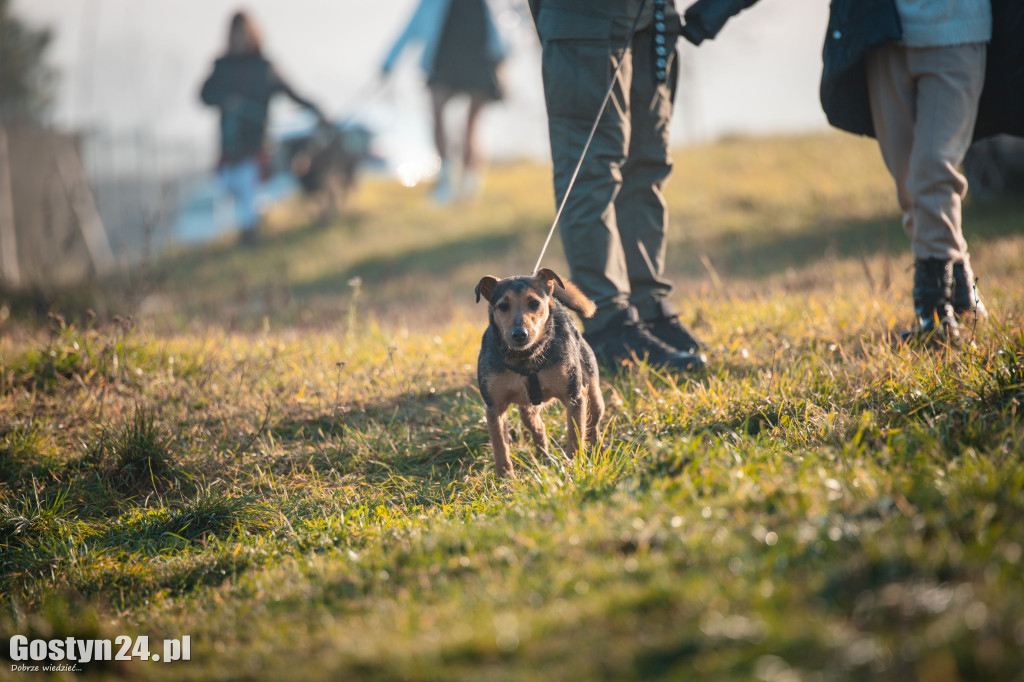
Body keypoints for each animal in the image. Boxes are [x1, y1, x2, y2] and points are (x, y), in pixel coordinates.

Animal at [475, 268, 602, 475]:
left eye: (534, 303)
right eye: (503, 306)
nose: (519, 334)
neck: (526, 357)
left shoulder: (574, 397)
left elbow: (575, 435)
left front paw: (573, 466)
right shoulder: (494, 407)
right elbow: (500, 446)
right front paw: (505, 478)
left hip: (593, 394)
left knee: (592, 425)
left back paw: (594, 449)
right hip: (528, 410)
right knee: (539, 429)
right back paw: (544, 458)